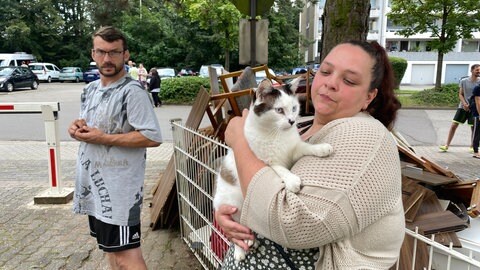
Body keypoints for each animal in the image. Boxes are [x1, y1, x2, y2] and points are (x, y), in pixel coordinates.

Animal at [214, 77, 334, 262]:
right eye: (279, 110)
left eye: (294, 108)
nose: (292, 121)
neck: (277, 134)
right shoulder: (266, 162)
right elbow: (280, 168)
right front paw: (291, 180)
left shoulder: (294, 149)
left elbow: (305, 147)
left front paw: (320, 148)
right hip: (231, 205)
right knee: (236, 229)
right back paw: (241, 250)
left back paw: (251, 241)